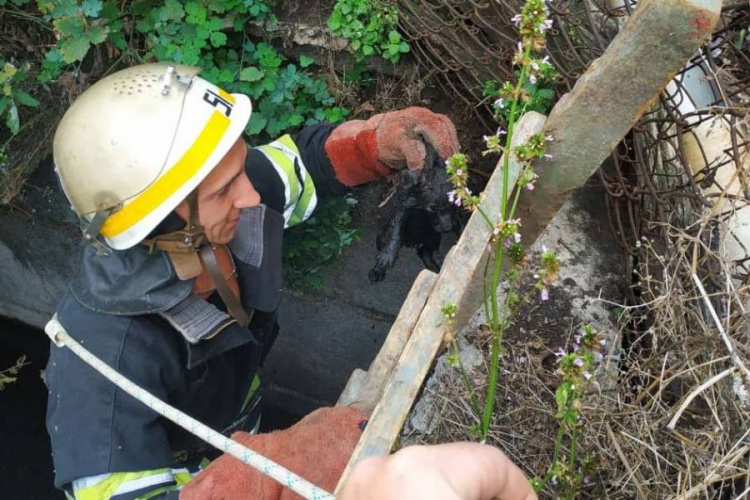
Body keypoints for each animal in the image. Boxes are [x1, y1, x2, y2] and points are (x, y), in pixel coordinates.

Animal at [368, 143, 458, 284]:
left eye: (453, 204)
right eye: (432, 209)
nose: (448, 228)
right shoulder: (404, 205)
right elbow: (396, 232)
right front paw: (386, 258)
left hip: (432, 240)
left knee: (426, 255)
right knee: (384, 240)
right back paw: (378, 270)